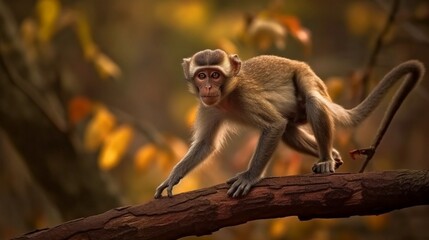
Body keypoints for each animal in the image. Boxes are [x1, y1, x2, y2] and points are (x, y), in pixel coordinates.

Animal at [154, 49, 424, 199]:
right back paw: (334, 156)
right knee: (289, 130)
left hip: (307, 77)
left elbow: (273, 125)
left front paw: (250, 177)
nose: (208, 87)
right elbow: (206, 145)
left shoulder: (246, 96)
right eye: (201, 75)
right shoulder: (208, 107)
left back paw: (326, 159)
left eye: (215, 74)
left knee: (312, 102)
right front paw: (173, 177)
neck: (227, 97)